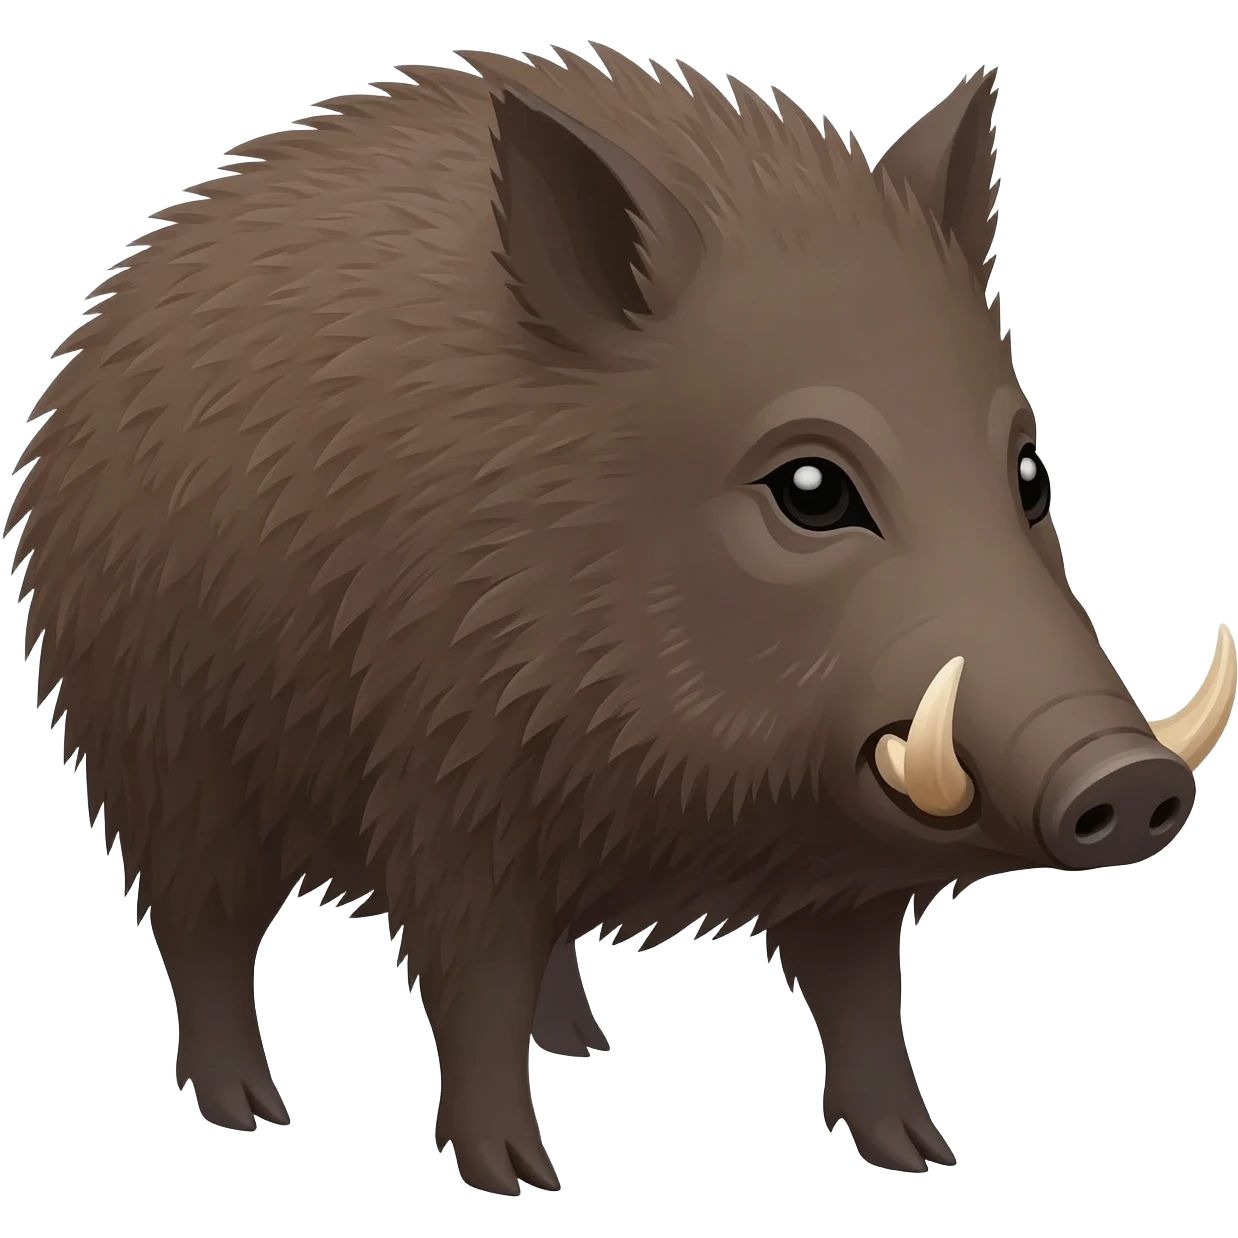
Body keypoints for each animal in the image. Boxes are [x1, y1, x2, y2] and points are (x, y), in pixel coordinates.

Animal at [6, 44, 1235, 1195]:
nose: (1128, 778)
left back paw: (586, 1046)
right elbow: (471, 982)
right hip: (163, 755)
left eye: (1029, 471)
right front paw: (516, 1176)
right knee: (201, 932)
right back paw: (250, 1112)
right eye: (809, 488)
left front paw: (920, 1154)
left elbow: (859, 991)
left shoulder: (833, 865)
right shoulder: (445, 784)